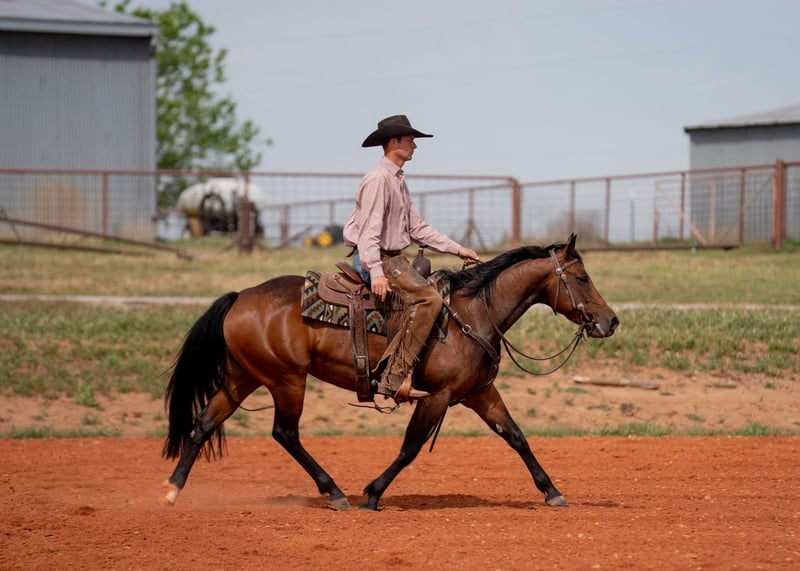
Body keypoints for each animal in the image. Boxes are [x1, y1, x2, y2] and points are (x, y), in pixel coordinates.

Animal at [162, 233, 618, 510]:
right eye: (582, 277)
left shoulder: (478, 393)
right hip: (286, 380)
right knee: (285, 433)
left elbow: (516, 436)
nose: (610, 321)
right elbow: (410, 447)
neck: (470, 314)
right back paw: (334, 493)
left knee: (203, 425)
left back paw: (172, 490)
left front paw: (552, 491)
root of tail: (240, 297)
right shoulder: (437, 397)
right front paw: (373, 493)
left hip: (243, 377)